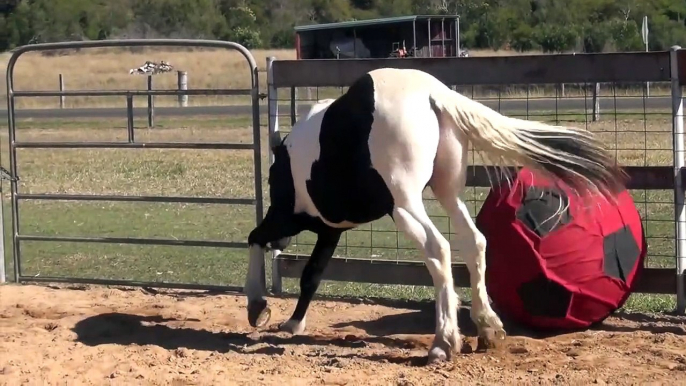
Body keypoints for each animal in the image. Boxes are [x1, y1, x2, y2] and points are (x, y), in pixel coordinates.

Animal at [246, 67, 628, 364]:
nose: (284, 242)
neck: (289, 161)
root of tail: (433, 93)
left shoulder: (291, 217)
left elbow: (257, 239)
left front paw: (258, 308)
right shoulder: (331, 230)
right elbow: (312, 273)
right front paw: (293, 323)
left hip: (404, 204)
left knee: (439, 249)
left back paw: (444, 343)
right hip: (446, 191)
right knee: (474, 242)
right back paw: (489, 329)